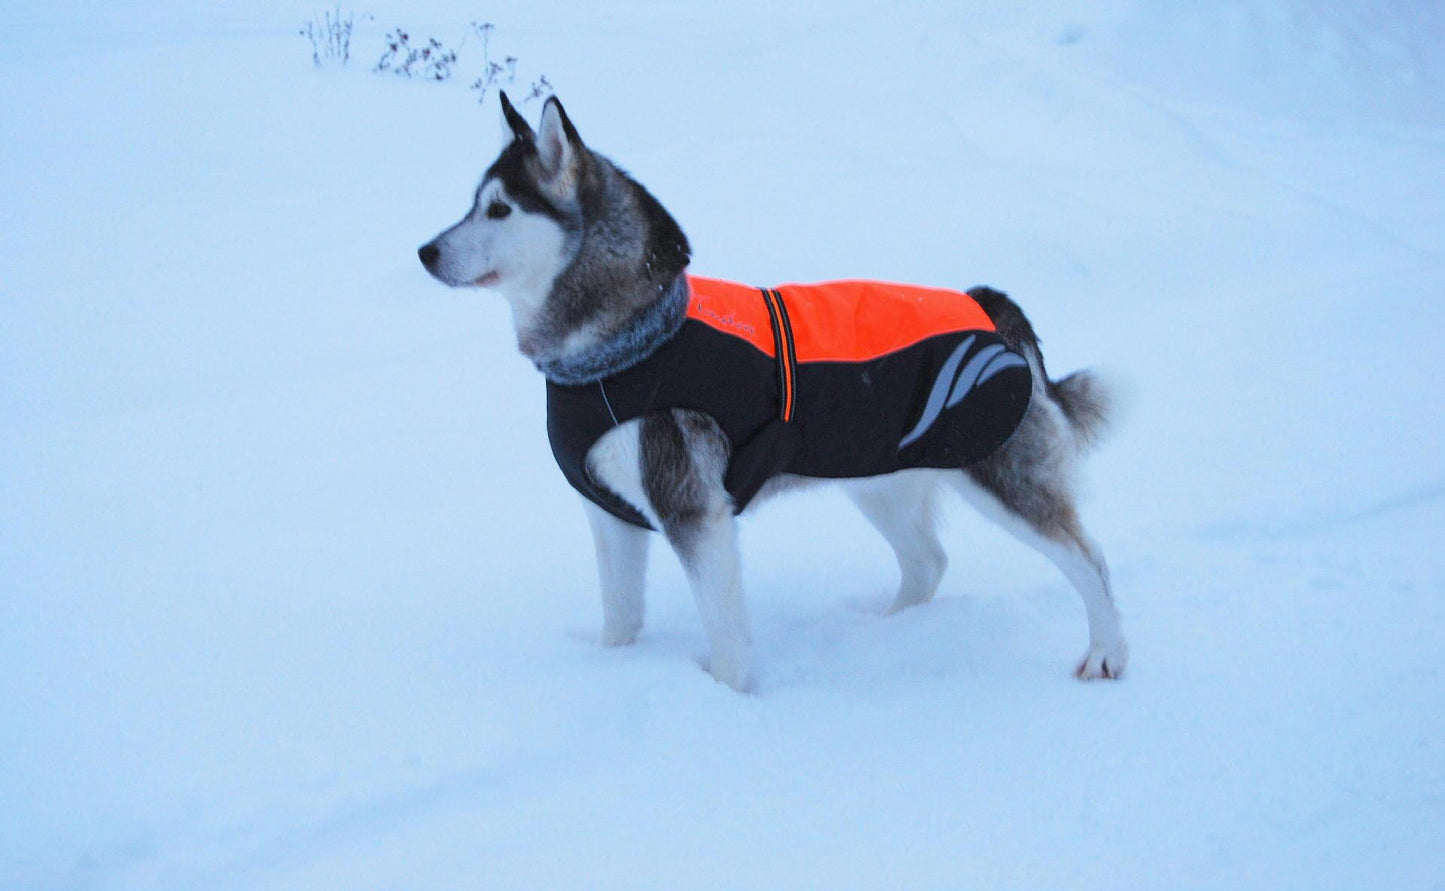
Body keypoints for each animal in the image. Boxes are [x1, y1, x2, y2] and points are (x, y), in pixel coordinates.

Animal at [419, 93, 1127, 690]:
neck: (623, 342)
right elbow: (620, 618)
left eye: (500, 209)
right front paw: (613, 672)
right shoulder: (609, 512)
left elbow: (727, 636)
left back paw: (1106, 653)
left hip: (994, 472)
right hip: (877, 477)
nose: (424, 252)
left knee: (1090, 560)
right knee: (928, 561)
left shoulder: (693, 513)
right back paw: (888, 630)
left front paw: (728, 701)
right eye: (471, 203)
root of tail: (989, 304)